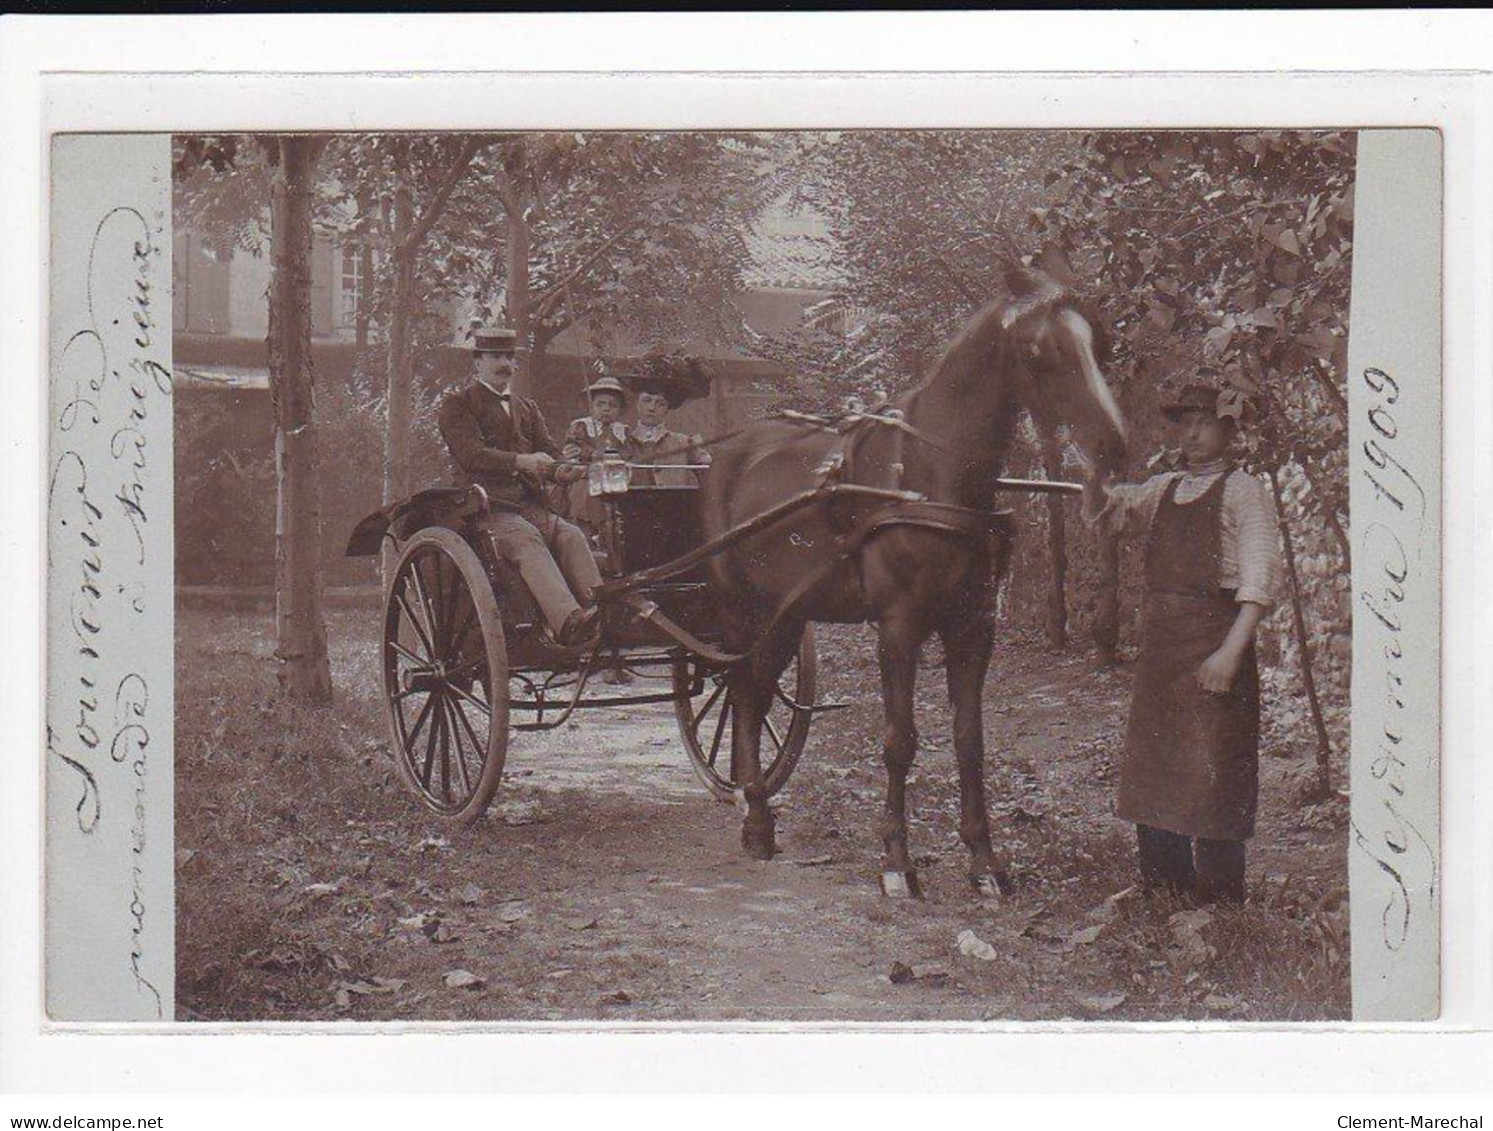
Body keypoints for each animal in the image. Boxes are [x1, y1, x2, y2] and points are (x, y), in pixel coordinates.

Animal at [704, 270, 1122, 901]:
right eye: (1041, 352)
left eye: (1098, 343)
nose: (1113, 445)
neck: (931, 478)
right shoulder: (898, 628)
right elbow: (899, 742)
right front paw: (897, 861)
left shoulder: (974, 628)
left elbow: (970, 741)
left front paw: (984, 861)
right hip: (740, 610)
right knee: (742, 691)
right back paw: (754, 819)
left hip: (787, 615)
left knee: (753, 692)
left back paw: (759, 818)